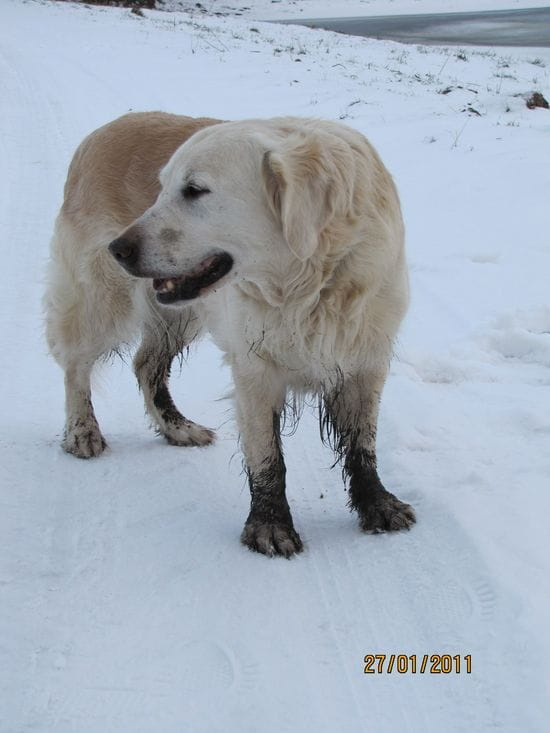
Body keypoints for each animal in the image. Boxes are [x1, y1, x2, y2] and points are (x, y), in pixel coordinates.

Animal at [45, 111, 416, 556]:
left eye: (194, 190)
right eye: (161, 188)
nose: (118, 249)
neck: (311, 285)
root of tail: (101, 131)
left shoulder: (365, 360)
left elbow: (363, 442)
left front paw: (377, 504)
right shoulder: (255, 368)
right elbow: (267, 456)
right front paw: (270, 525)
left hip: (181, 313)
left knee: (145, 364)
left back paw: (176, 427)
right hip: (101, 299)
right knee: (75, 365)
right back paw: (82, 431)